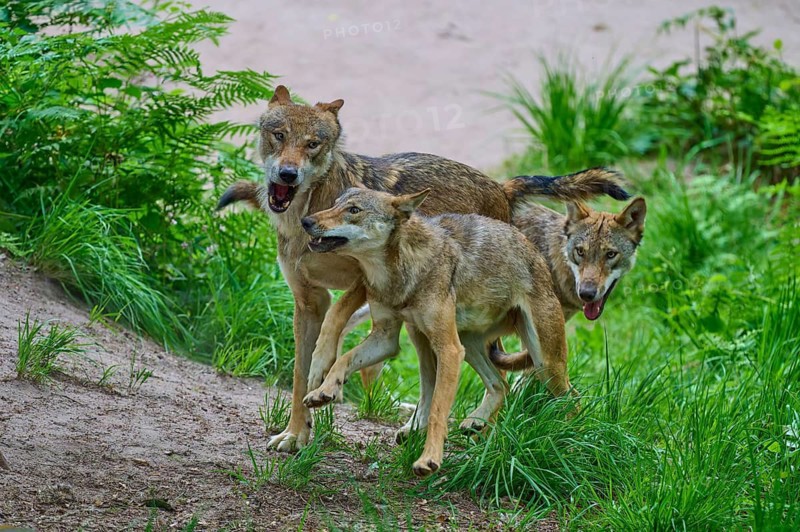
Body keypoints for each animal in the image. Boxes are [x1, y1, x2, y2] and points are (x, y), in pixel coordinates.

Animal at [299, 187, 572, 476]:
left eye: (354, 210)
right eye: (335, 204)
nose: (306, 221)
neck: (400, 270)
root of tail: (536, 254)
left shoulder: (448, 350)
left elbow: (438, 410)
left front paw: (428, 459)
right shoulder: (386, 339)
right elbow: (344, 358)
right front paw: (322, 391)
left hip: (543, 362)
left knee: (570, 399)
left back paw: (568, 442)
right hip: (463, 344)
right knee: (501, 384)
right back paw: (475, 421)